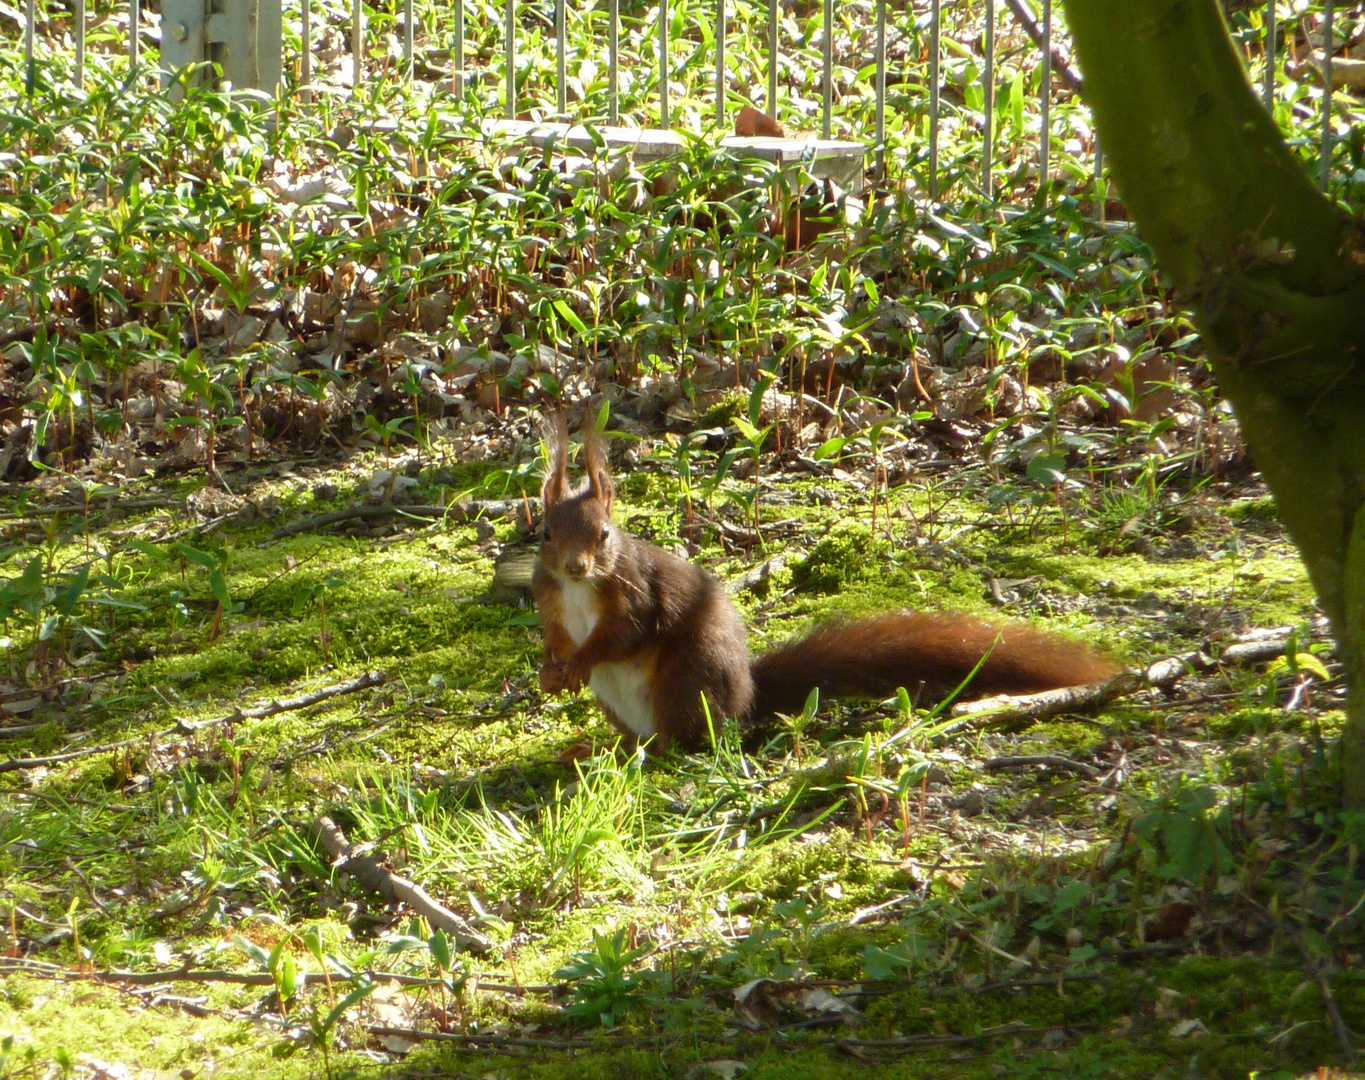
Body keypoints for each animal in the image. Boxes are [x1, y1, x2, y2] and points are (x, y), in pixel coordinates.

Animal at [526, 415, 1113, 753]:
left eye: (604, 535)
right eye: (546, 532)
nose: (576, 567)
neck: (579, 590)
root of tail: (745, 698)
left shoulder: (634, 594)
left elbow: (620, 636)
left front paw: (577, 663)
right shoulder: (550, 599)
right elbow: (555, 636)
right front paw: (549, 670)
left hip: (685, 680)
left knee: (681, 741)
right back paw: (597, 750)